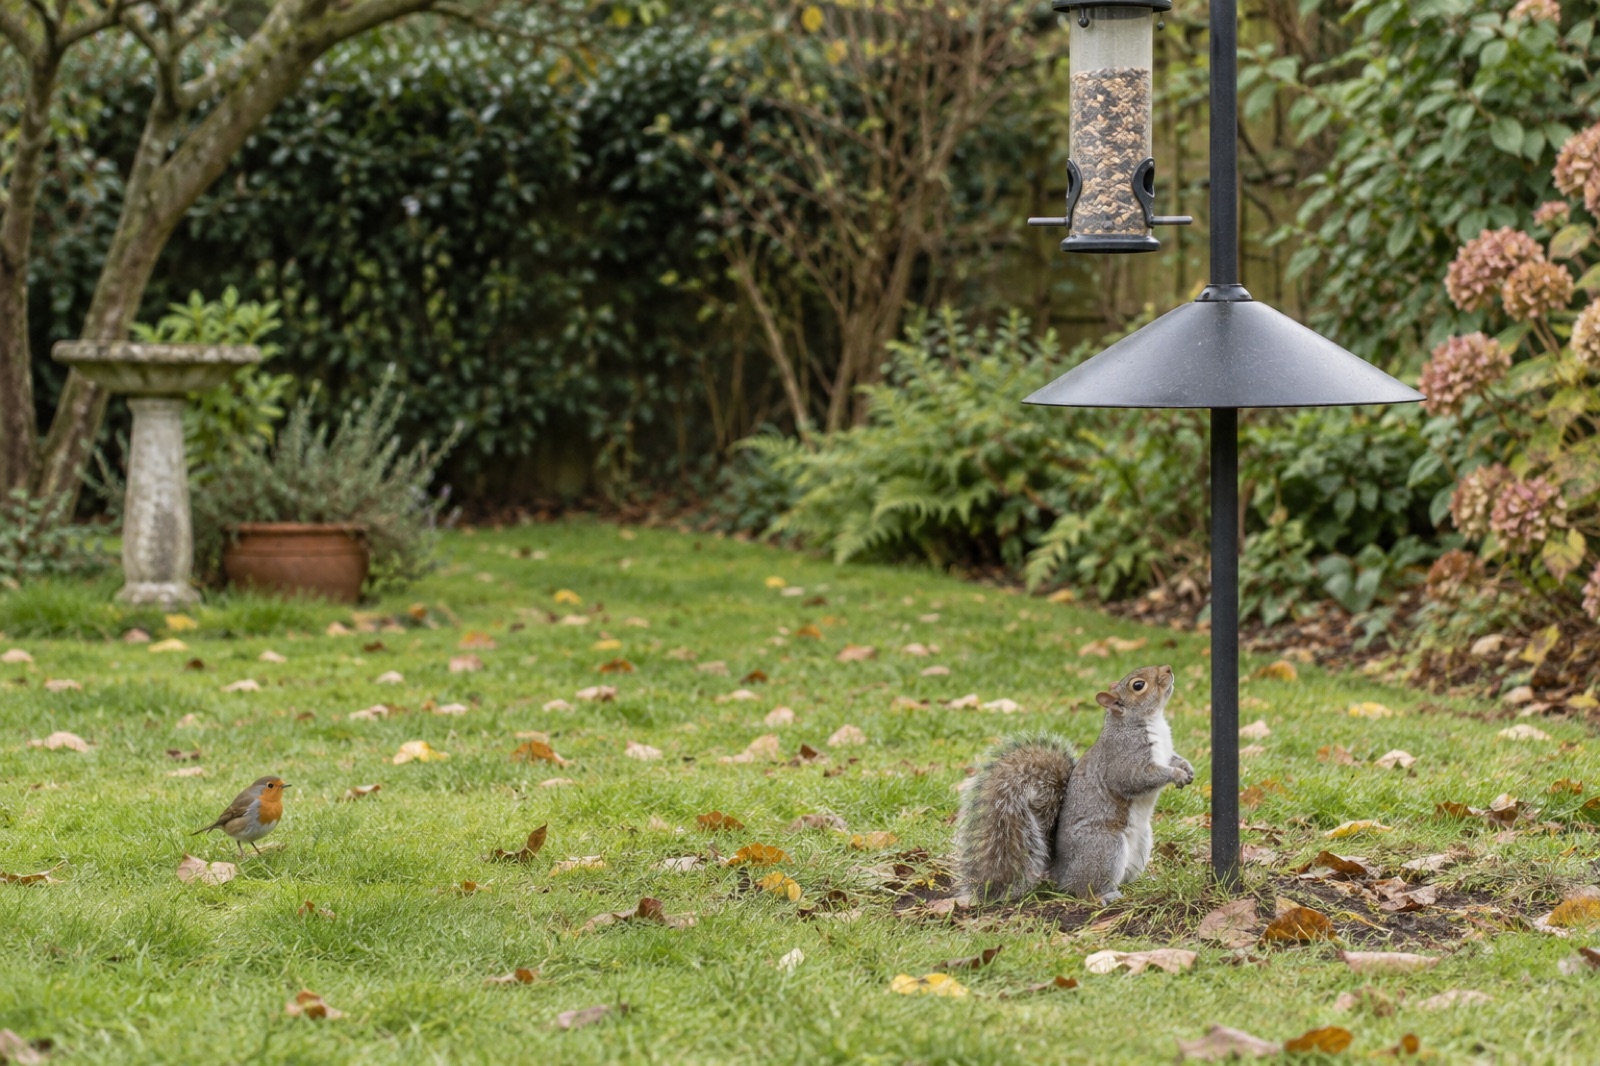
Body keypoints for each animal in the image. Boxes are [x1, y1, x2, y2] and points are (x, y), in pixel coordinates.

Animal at [954, 664, 1193, 903]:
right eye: (1138, 685)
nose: (1168, 668)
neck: (1151, 721)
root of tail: (1060, 872)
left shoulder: (1165, 751)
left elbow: (1174, 759)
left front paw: (1187, 769)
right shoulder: (1124, 759)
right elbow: (1135, 779)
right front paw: (1176, 775)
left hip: (1142, 842)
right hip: (1104, 847)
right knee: (1083, 889)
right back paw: (1105, 895)